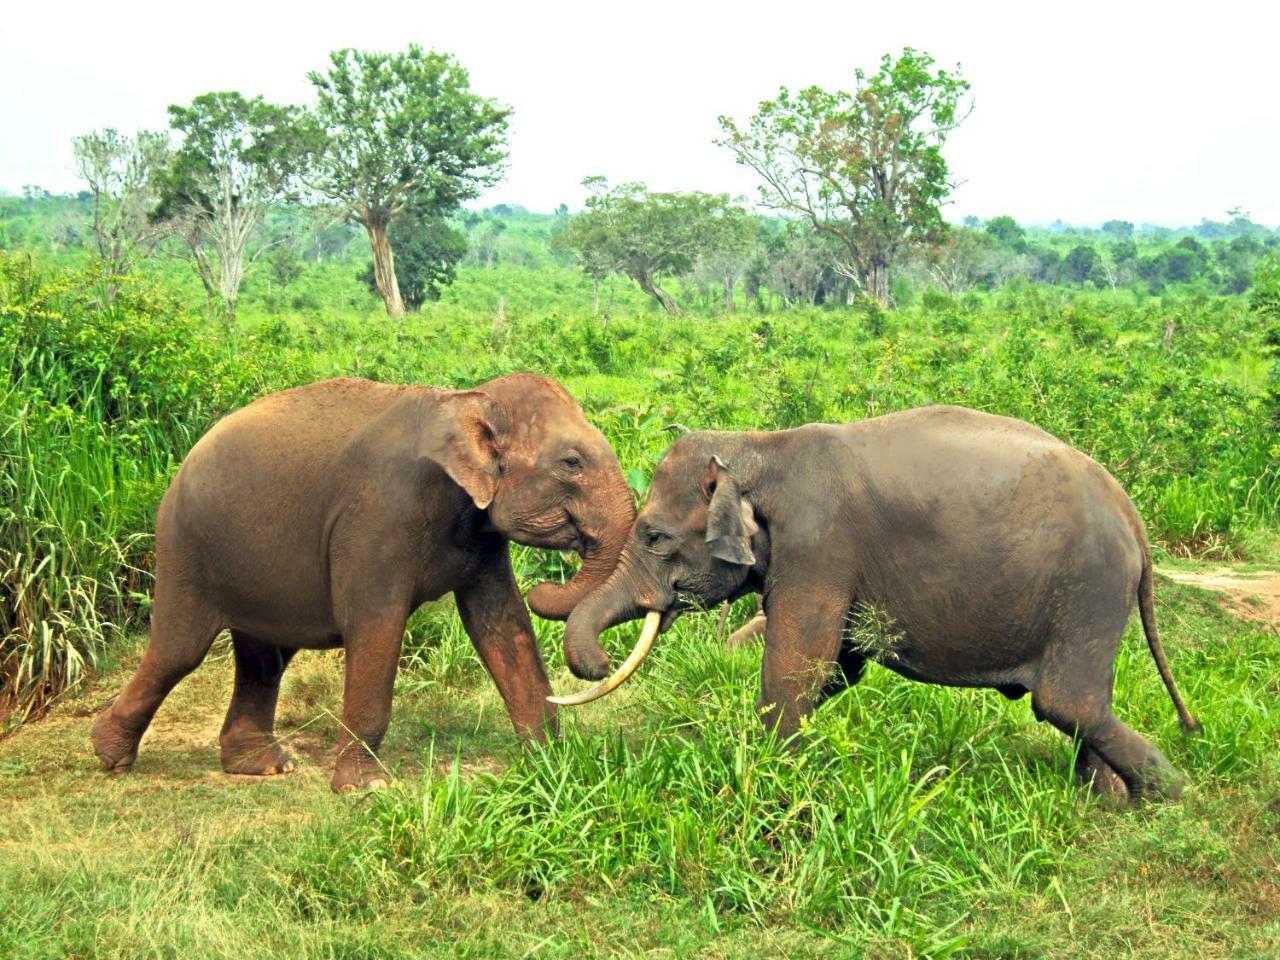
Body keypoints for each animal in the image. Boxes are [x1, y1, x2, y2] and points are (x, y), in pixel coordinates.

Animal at [87, 371, 637, 793]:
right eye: (572, 463)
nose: (600, 664)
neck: (466, 398)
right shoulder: (379, 517)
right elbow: (376, 626)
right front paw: (365, 788)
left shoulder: (479, 532)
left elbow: (502, 626)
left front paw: (550, 766)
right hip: (186, 547)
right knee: (180, 649)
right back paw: (109, 755)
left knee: (265, 659)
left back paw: (263, 766)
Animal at [550, 407, 1198, 803]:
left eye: (655, 537)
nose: (599, 662)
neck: (760, 447)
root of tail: (1131, 514)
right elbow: (839, 666)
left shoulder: (819, 545)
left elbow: (798, 664)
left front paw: (775, 775)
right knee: (1083, 704)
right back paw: (1105, 798)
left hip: (1089, 591)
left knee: (1066, 702)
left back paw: (1164, 798)